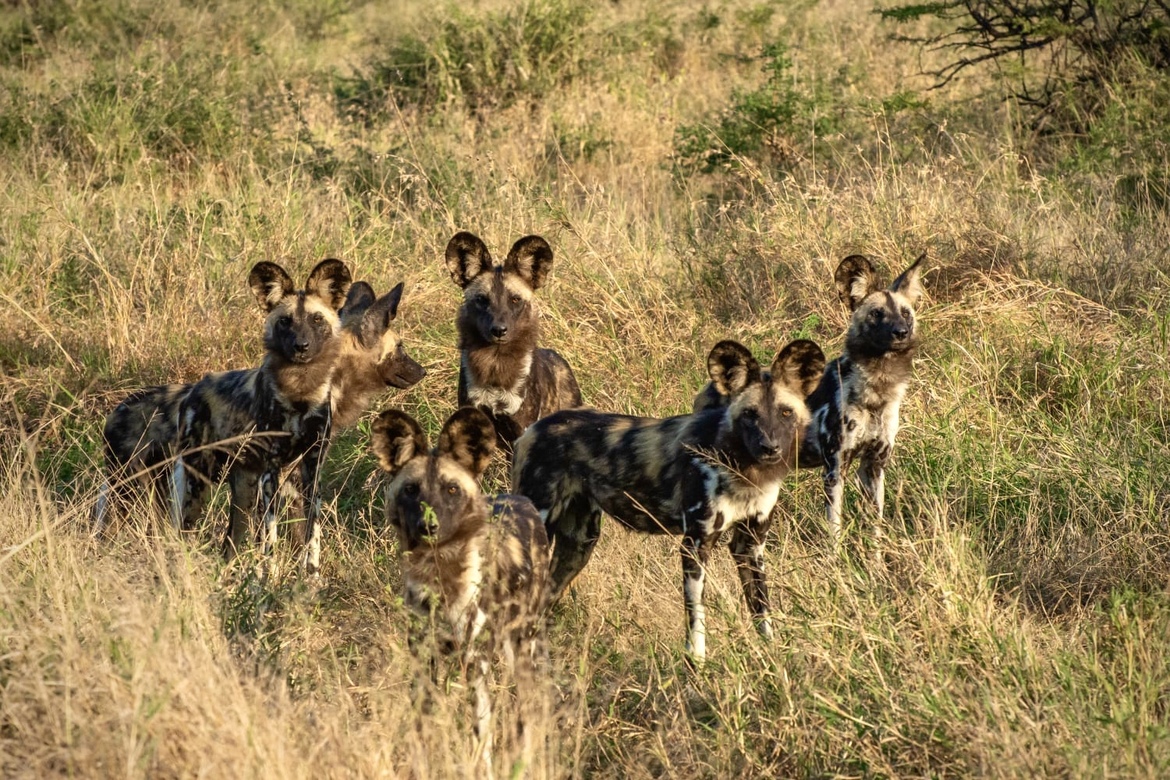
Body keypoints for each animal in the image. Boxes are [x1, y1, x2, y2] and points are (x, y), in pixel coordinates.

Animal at [170, 259, 351, 570]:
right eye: (285, 321)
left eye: (317, 319)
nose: (301, 346)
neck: (300, 393)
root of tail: (192, 390)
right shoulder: (272, 472)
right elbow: (270, 539)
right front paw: (270, 575)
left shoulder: (311, 470)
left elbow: (311, 534)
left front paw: (311, 575)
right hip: (199, 485)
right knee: (184, 533)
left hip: (243, 491)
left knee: (229, 544)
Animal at [372, 406, 549, 767]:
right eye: (411, 490)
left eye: (451, 490)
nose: (428, 525)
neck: (440, 574)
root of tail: (521, 500)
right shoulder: (424, 662)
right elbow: (422, 732)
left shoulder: (475, 664)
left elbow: (481, 741)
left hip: (522, 648)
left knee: (526, 714)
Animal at [510, 339, 823, 664]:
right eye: (750, 413)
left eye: (785, 413)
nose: (770, 447)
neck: (744, 469)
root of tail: (533, 429)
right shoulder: (695, 545)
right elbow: (696, 621)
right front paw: (697, 666)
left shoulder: (750, 545)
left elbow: (763, 611)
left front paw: (773, 656)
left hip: (579, 544)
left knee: (540, 609)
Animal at [692, 253, 921, 551]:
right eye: (876, 314)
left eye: (905, 313)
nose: (901, 332)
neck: (876, 392)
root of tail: (710, 387)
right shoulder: (834, 470)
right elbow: (834, 532)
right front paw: (836, 561)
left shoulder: (874, 466)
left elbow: (875, 530)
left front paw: (875, 560)